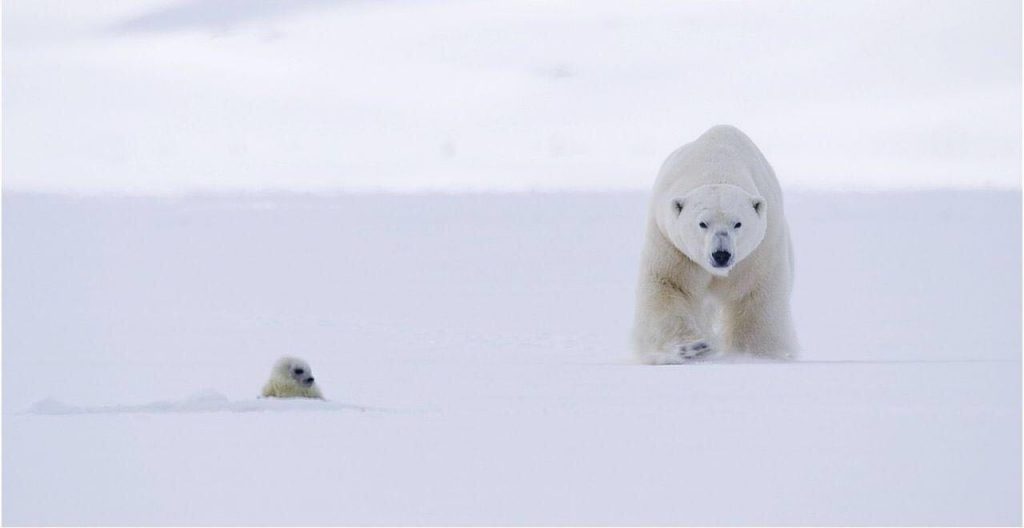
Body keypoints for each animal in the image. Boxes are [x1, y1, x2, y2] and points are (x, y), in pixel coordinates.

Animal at [630, 124, 798, 362]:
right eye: (702, 223)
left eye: (738, 223)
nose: (721, 254)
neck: (717, 165)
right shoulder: (671, 243)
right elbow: (669, 285)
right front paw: (691, 347)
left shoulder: (760, 250)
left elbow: (754, 296)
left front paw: (753, 353)